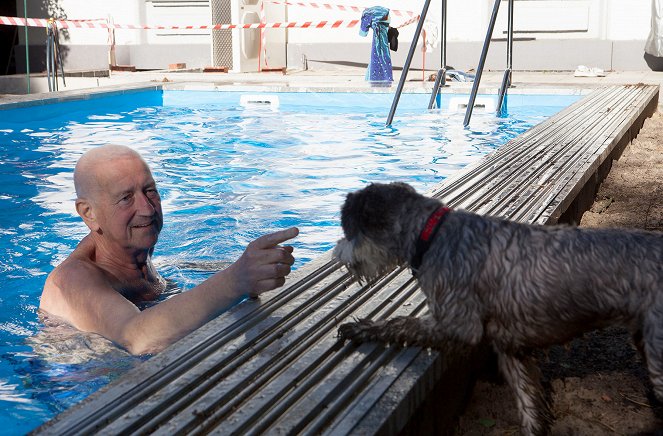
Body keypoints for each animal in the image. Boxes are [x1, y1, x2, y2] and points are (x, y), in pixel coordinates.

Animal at [334, 181, 663, 436]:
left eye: (348, 229)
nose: (338, 254)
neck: (432, 234)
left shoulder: (459, 325)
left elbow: (400, 324)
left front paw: (360, 328)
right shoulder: (511, 349)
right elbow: (529, 405)